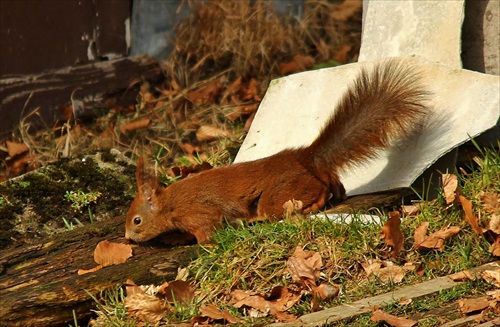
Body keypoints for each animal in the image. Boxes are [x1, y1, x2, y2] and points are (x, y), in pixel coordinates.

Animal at [124, 60, 426, 243]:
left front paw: (200, 245)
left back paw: (309, 207)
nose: (128, 237)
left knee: (311, 195)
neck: (170, 203)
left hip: (276, 196)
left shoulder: (198, 213)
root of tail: (305, 158)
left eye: (137, 220)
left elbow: (207, 232)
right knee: (333, 184)